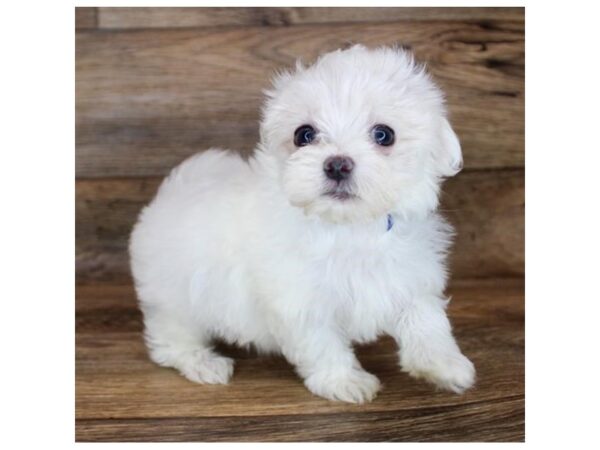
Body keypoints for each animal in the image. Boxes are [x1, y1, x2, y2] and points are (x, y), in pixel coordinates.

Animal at [130, 44, 474, 404]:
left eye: (384, 135)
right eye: (304, 135)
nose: (337, 165)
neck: (348, 227)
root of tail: (173, 190)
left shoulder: (408, 274)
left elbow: (426, 318)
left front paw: (444, 365)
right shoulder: (299, 299)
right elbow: (321, 343)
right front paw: (343, 382)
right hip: (174, 295)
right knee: (172, 337)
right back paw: (202, 363)